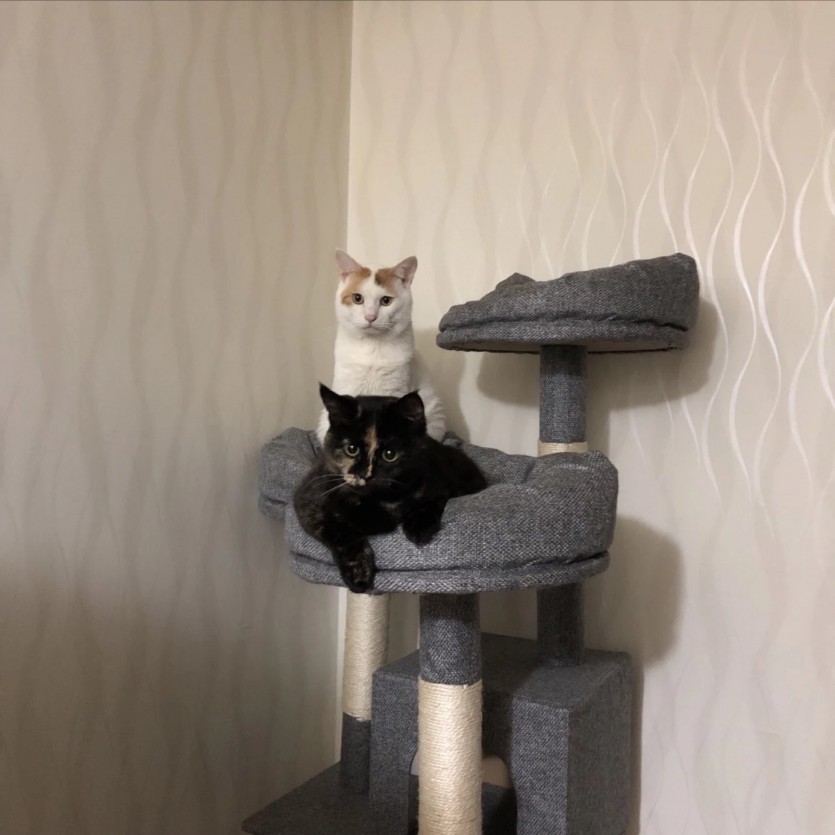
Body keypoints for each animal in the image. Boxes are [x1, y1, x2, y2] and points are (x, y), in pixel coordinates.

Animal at [296, 385, 486, 592]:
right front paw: (359, 575)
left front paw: (419, 527)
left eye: (390, 454)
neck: (381, 500)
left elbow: (429, 501)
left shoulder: (441, 482)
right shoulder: (309, 502)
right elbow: (341, 533)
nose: (365, 475)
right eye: (351, 449)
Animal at [315, 250, 446, 444]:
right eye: (357, 298)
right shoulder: (347, 384)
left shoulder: (395, 389)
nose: (370, 317)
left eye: (386, 300)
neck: (372, 346)